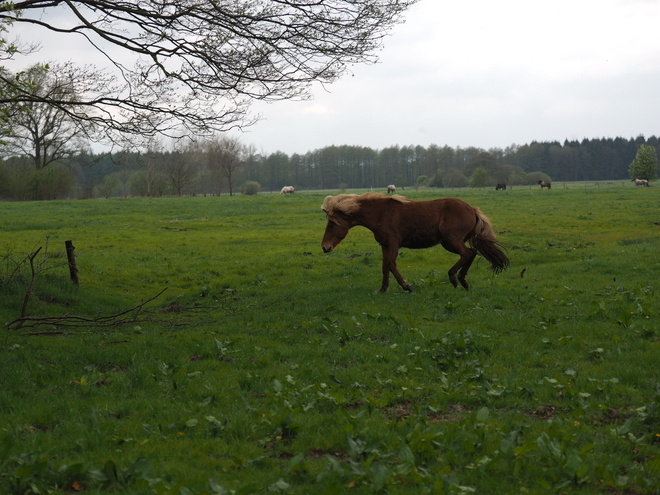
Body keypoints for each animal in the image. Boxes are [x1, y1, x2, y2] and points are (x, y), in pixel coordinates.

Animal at [322, 194, 508, 292]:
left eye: (332, 224)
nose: (325, 247)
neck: (381, 214)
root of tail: (472, 210)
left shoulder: (394, 244)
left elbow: (391, 264)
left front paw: (407, 287)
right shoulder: (385, 245)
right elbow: (384, 266)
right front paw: (383, 289)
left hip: (451, 241)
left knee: (468, 254)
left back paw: (455, 278)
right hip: (451, 242)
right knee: (471, 253)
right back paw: (463, 281)